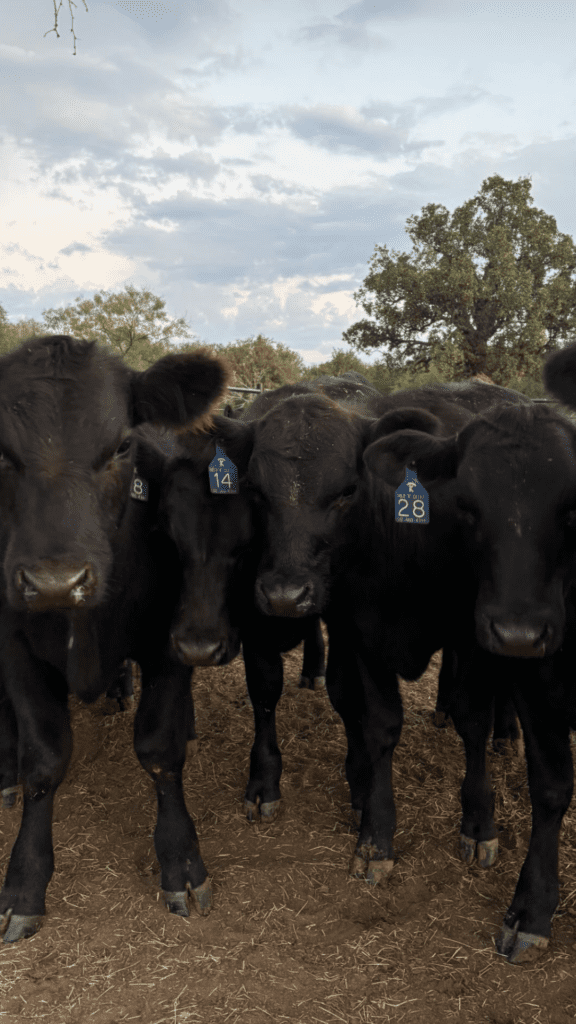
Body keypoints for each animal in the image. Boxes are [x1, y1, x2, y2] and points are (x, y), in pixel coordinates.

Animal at [0, 334, 227, 943]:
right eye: (1, 451)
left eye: (123, 444)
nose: (56, 581)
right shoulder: (14, 645)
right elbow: (44, 760)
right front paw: (24, 882)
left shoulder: (170, 641)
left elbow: (159, 749)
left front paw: (181, 859)